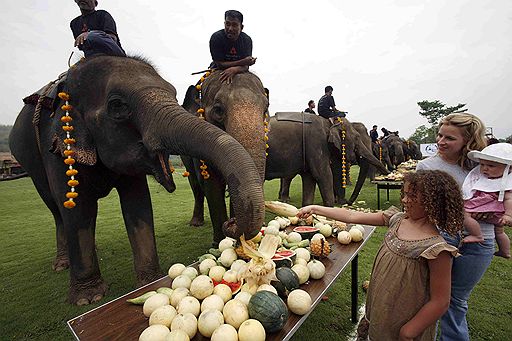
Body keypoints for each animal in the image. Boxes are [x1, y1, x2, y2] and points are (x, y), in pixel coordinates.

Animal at [180, 69, 268, 244]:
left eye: (266, 108)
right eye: (218, 110)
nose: (231, 222)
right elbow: (211, 184)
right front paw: (218, 242)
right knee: (195, 185)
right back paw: (195, 223)